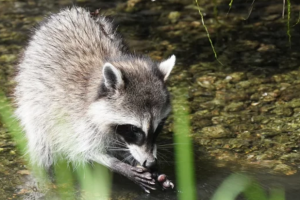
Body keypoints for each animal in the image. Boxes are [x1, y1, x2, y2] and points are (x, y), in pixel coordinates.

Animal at [14, 7, 175, 192]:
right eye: (134, 129)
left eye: (159, 126)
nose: (151, 163)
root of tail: (68, 11)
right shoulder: (75, 120)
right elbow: (82, 149)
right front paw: (119, 165)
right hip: (33, 105)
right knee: (42, 145)